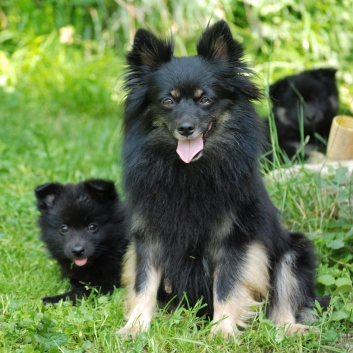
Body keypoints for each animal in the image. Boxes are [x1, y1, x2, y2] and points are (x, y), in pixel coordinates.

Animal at [117, 20, 326, 338]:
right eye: (168, 101)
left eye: (205, 100)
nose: (186, 128)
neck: (189, 171)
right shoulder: (148, 235)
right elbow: (143, 283)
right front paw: (136, 327)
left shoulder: (234, 239)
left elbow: (227, 287)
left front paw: (222, 331)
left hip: (294, 251)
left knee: (283, 300)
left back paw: (290, 329)